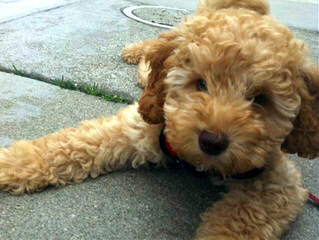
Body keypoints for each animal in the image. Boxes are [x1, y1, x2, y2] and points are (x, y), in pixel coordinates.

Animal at [0, 0, 319, 239]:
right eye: (200, 83)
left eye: (260, 99)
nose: (212, 141)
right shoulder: (140, 127)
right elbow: (72, 144)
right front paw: (13, 164)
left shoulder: (278, 182)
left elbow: (240, 219)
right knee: (156, 44)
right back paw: (137, 53)